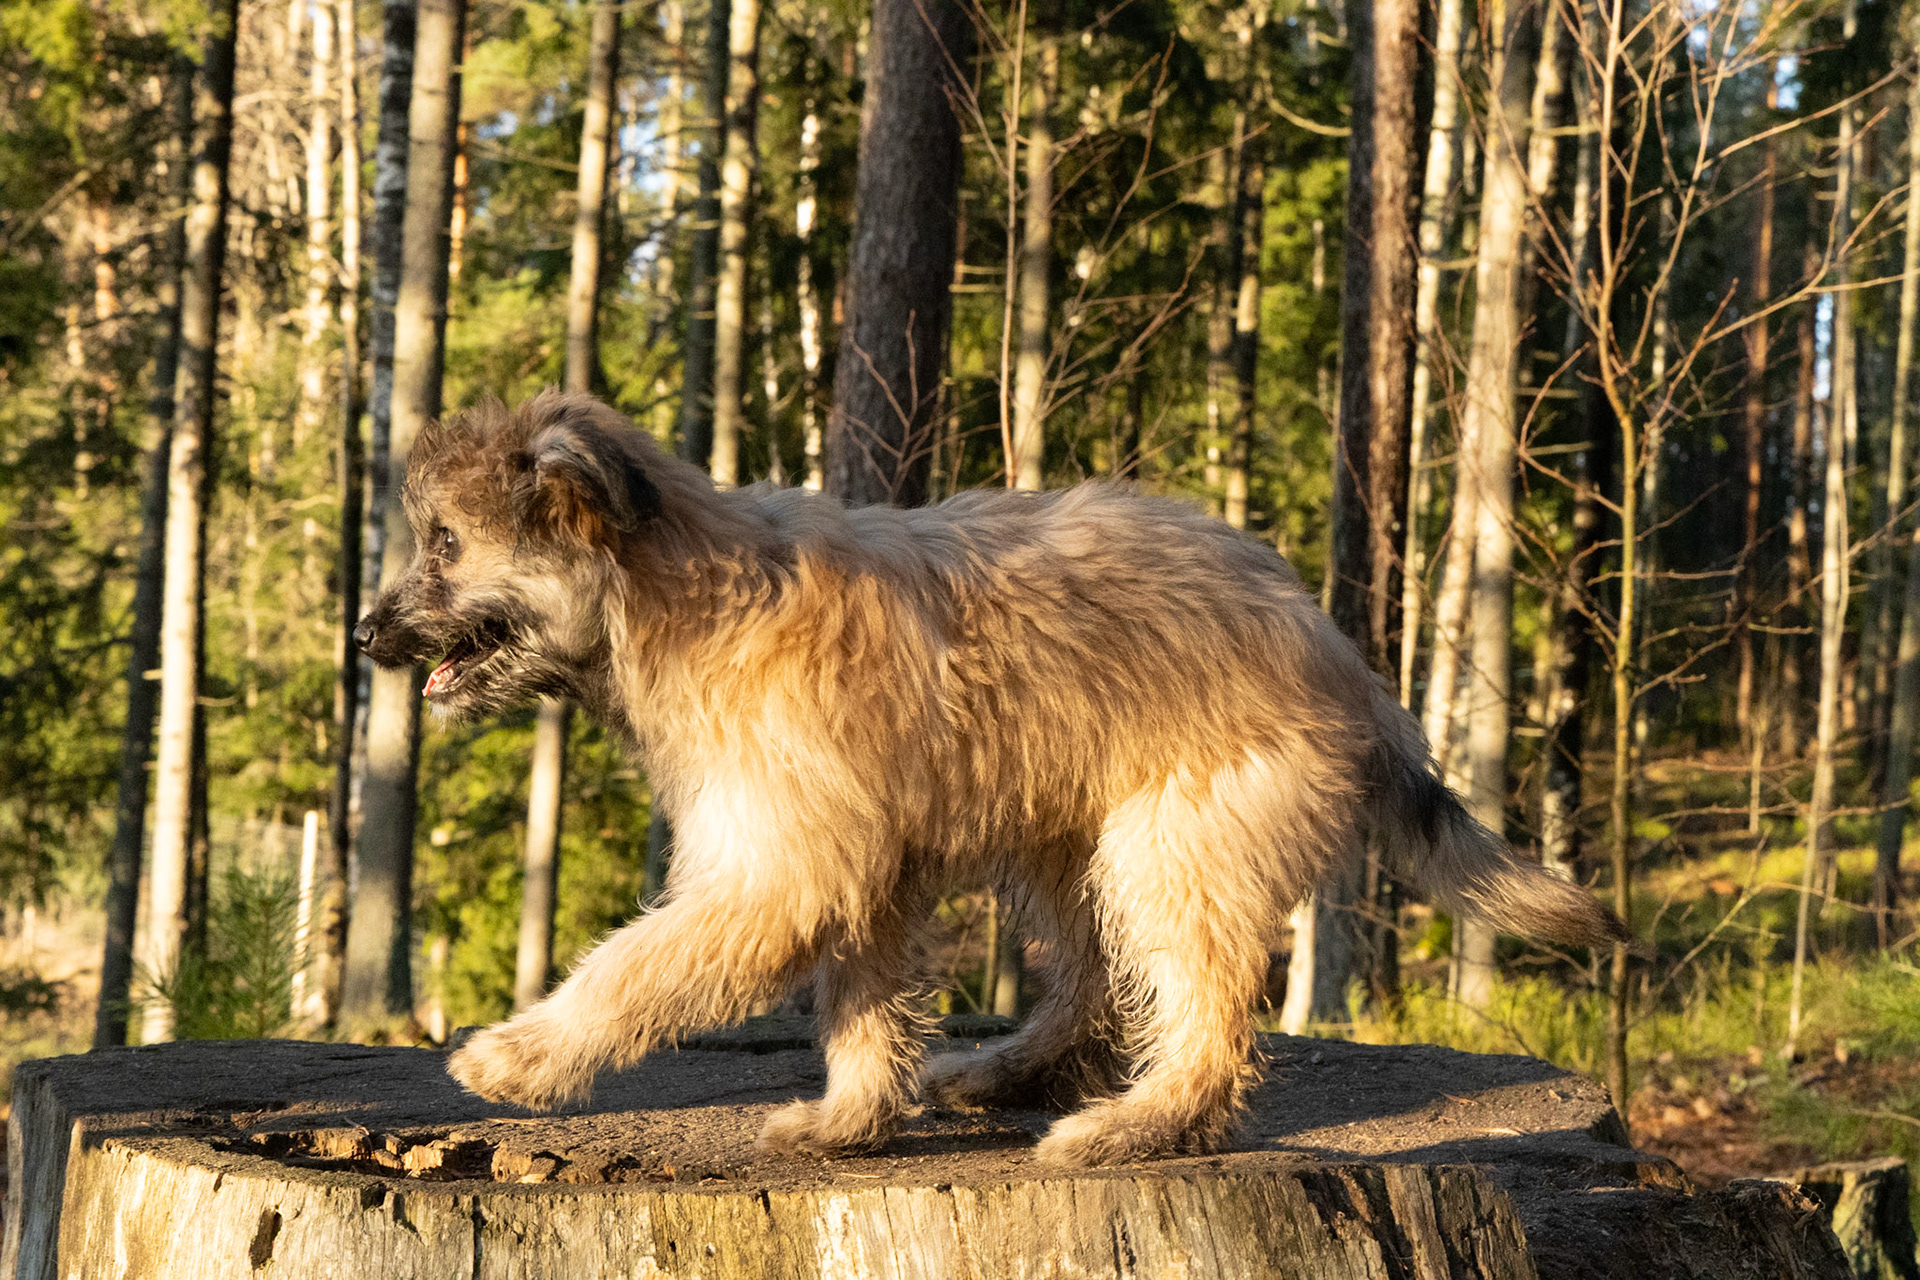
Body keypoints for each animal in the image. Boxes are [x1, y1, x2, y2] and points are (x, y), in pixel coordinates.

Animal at [354, 389, 1629, 1167]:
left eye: (446, 544)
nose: (365, 635)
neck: (679, 594)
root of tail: (1334, 642)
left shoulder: (780, 864)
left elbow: (636, 963)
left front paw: (521, 1055)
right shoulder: (856, 858)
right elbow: (861, 997)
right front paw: (853, 1116)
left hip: (1174, 835)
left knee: (1207, 1018)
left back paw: (1137, 1125)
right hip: (1078, 836)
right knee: (1100, 978)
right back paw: (1009, 1067)